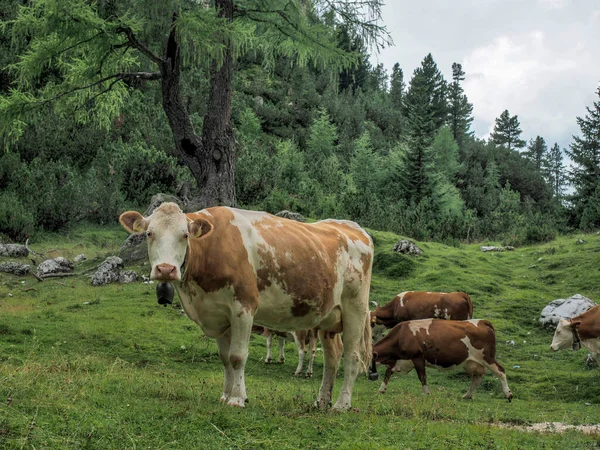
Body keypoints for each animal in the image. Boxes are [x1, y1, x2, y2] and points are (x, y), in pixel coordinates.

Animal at [120, 204, 376, 412]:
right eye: (149, 233)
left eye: (184, 235)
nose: (166, 269)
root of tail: (351, 226)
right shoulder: (219, 315)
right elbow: (225, 358)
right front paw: (226, 395)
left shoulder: (243, 308)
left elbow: (237, 356)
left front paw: (237, 399)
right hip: (328, 317)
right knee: (333, 358)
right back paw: (321, 401)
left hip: (355, 308)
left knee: (352, 356)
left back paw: (342, 404)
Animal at [372, 316, 512, 400]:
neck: (402, 335)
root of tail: (482, 321)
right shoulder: (401, 360)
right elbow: (388, 372)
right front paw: (381, 389)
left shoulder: (418, 357)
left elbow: (422, 376)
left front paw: (426, 393)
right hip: (471, 362)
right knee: (477, 377)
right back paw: (467, 395)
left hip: (487, 357)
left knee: (500, 371)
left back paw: (508, 394)